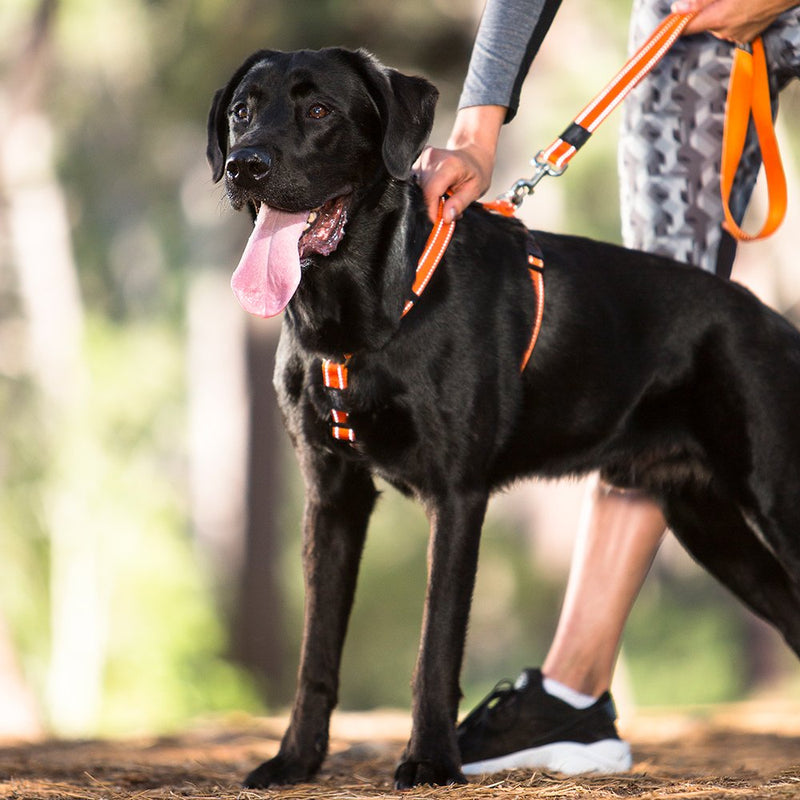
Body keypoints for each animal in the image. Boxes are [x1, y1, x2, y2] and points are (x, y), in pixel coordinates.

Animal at [209, 48, 800, 788]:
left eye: (319, 110)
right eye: (241, 110)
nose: (244, 166)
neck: (362, 312)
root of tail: (779, 324)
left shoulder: (457, 496)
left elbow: (435, 646)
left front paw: (431, 760)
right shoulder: (333, 495)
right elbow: (316, 649)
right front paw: (295, 760)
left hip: (777, 498)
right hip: (710, 525)